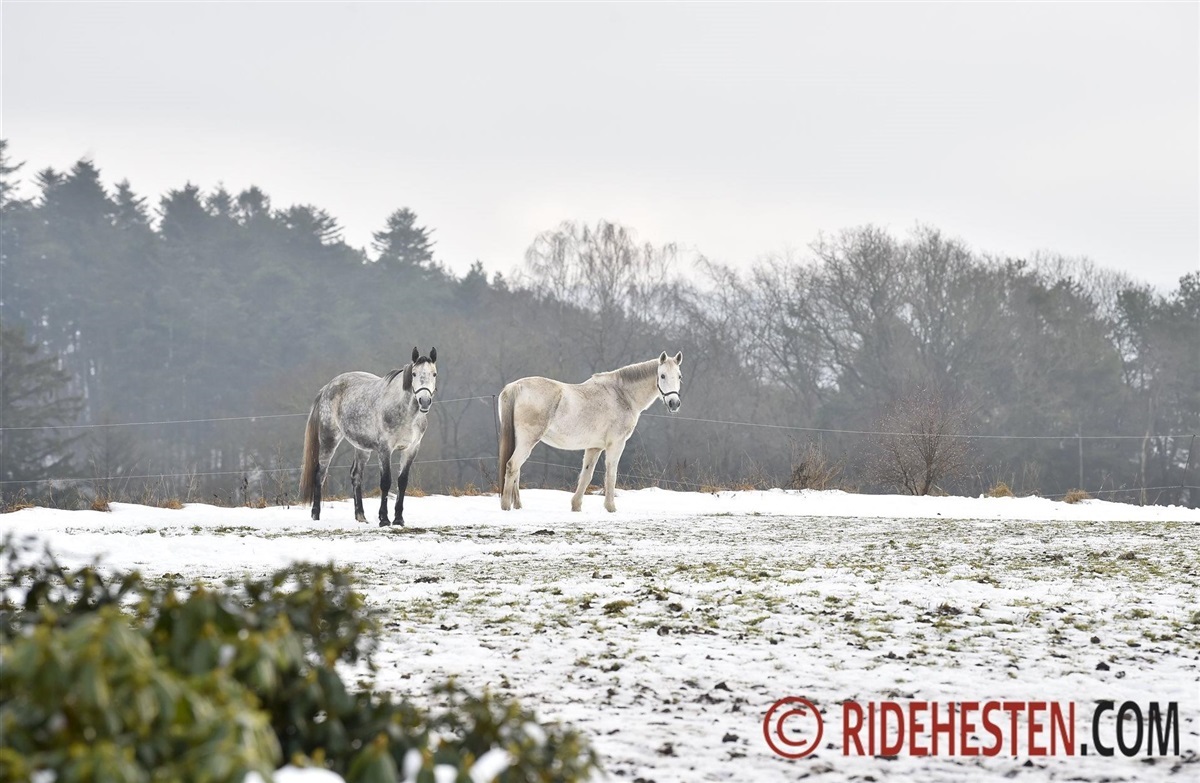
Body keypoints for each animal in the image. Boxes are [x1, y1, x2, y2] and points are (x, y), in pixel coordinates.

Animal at [299, 347, 438, 526]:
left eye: (434, 374)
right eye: (414, 374)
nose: (424, 401)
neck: (405, 412)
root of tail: (327, 388)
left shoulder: (411, 449)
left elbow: (402, 482)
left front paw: (398, 519)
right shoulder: (385, 449)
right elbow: (385, 482)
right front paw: (384, 519)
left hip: (362, 447)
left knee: (356, 475)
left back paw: (360, 516)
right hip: (329, 439)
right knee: (320, 474)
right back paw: (316, 515)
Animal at [497, 351, 683, 513]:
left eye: (679, 376)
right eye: (662, 375)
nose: (674, 403)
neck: (621, 395)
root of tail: (515, 386)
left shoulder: (594, 447)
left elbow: (587, 474)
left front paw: (576, 506)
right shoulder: (616, 444)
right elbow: (611, 474)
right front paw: (611, 507)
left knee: (517, 469)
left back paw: (518, 505)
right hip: (527, 440)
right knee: (512, 465)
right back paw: (506, 506)